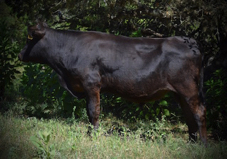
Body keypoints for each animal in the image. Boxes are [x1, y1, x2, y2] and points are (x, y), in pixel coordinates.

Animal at [19, 22, 207, 145]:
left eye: (29, 39)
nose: (20, 54)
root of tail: (188, 42)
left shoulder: (91, 83)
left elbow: (93, 111)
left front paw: (93, 136)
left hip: (188, 87)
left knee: (199, 112)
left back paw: (203, 144)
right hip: (180, 92)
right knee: (189, 115)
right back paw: (190, 142)